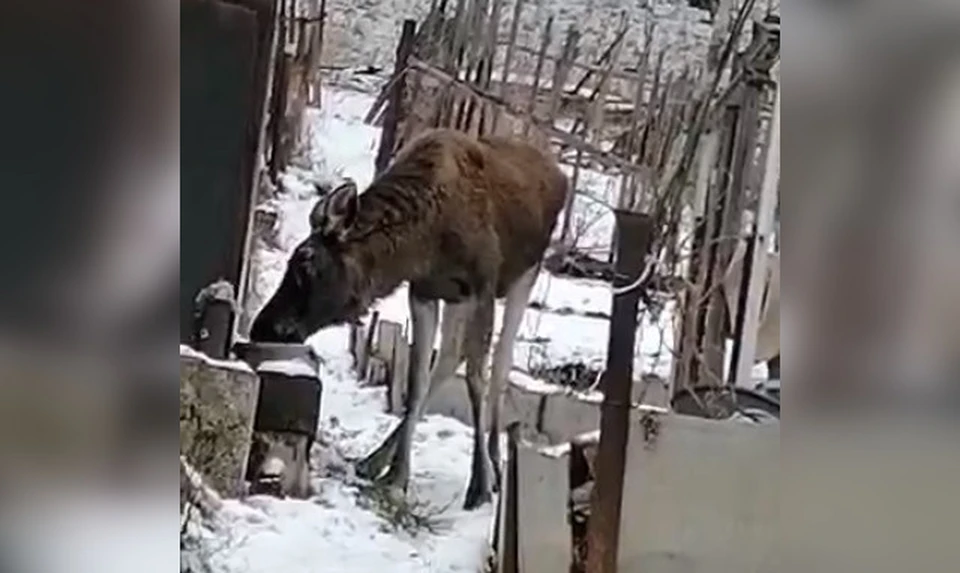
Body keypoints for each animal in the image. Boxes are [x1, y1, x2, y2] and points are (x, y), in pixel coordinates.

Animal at [249, 127, 568, 508]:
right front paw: (397, 475)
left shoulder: (483, 285)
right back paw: (377, 459)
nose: (262, 325)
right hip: (459, 299)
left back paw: (494, 462)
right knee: (450, 356)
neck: (422, 244)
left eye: (306, 263)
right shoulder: (425, 291)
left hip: (525, 276)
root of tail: (560, 174)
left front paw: (479, 485)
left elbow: (477, 379)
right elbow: (416, 381)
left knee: (501, 364)